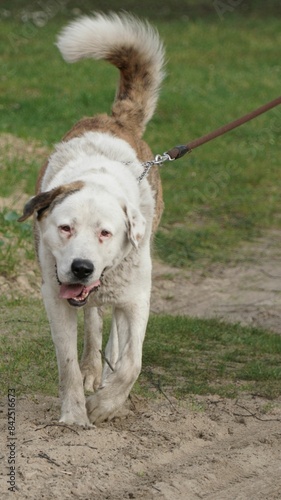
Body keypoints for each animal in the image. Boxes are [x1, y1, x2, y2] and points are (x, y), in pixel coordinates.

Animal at [18, 12, 164, 426]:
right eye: (65, 227)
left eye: (105, 233)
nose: (81, 268)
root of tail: (113, 118)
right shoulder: (55, 297)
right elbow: (66, 363)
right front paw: (74, 416)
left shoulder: (138, 297)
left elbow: (133, 362)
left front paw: (105, 405)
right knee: (95, 321)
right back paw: (92, 370)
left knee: (115, 334)